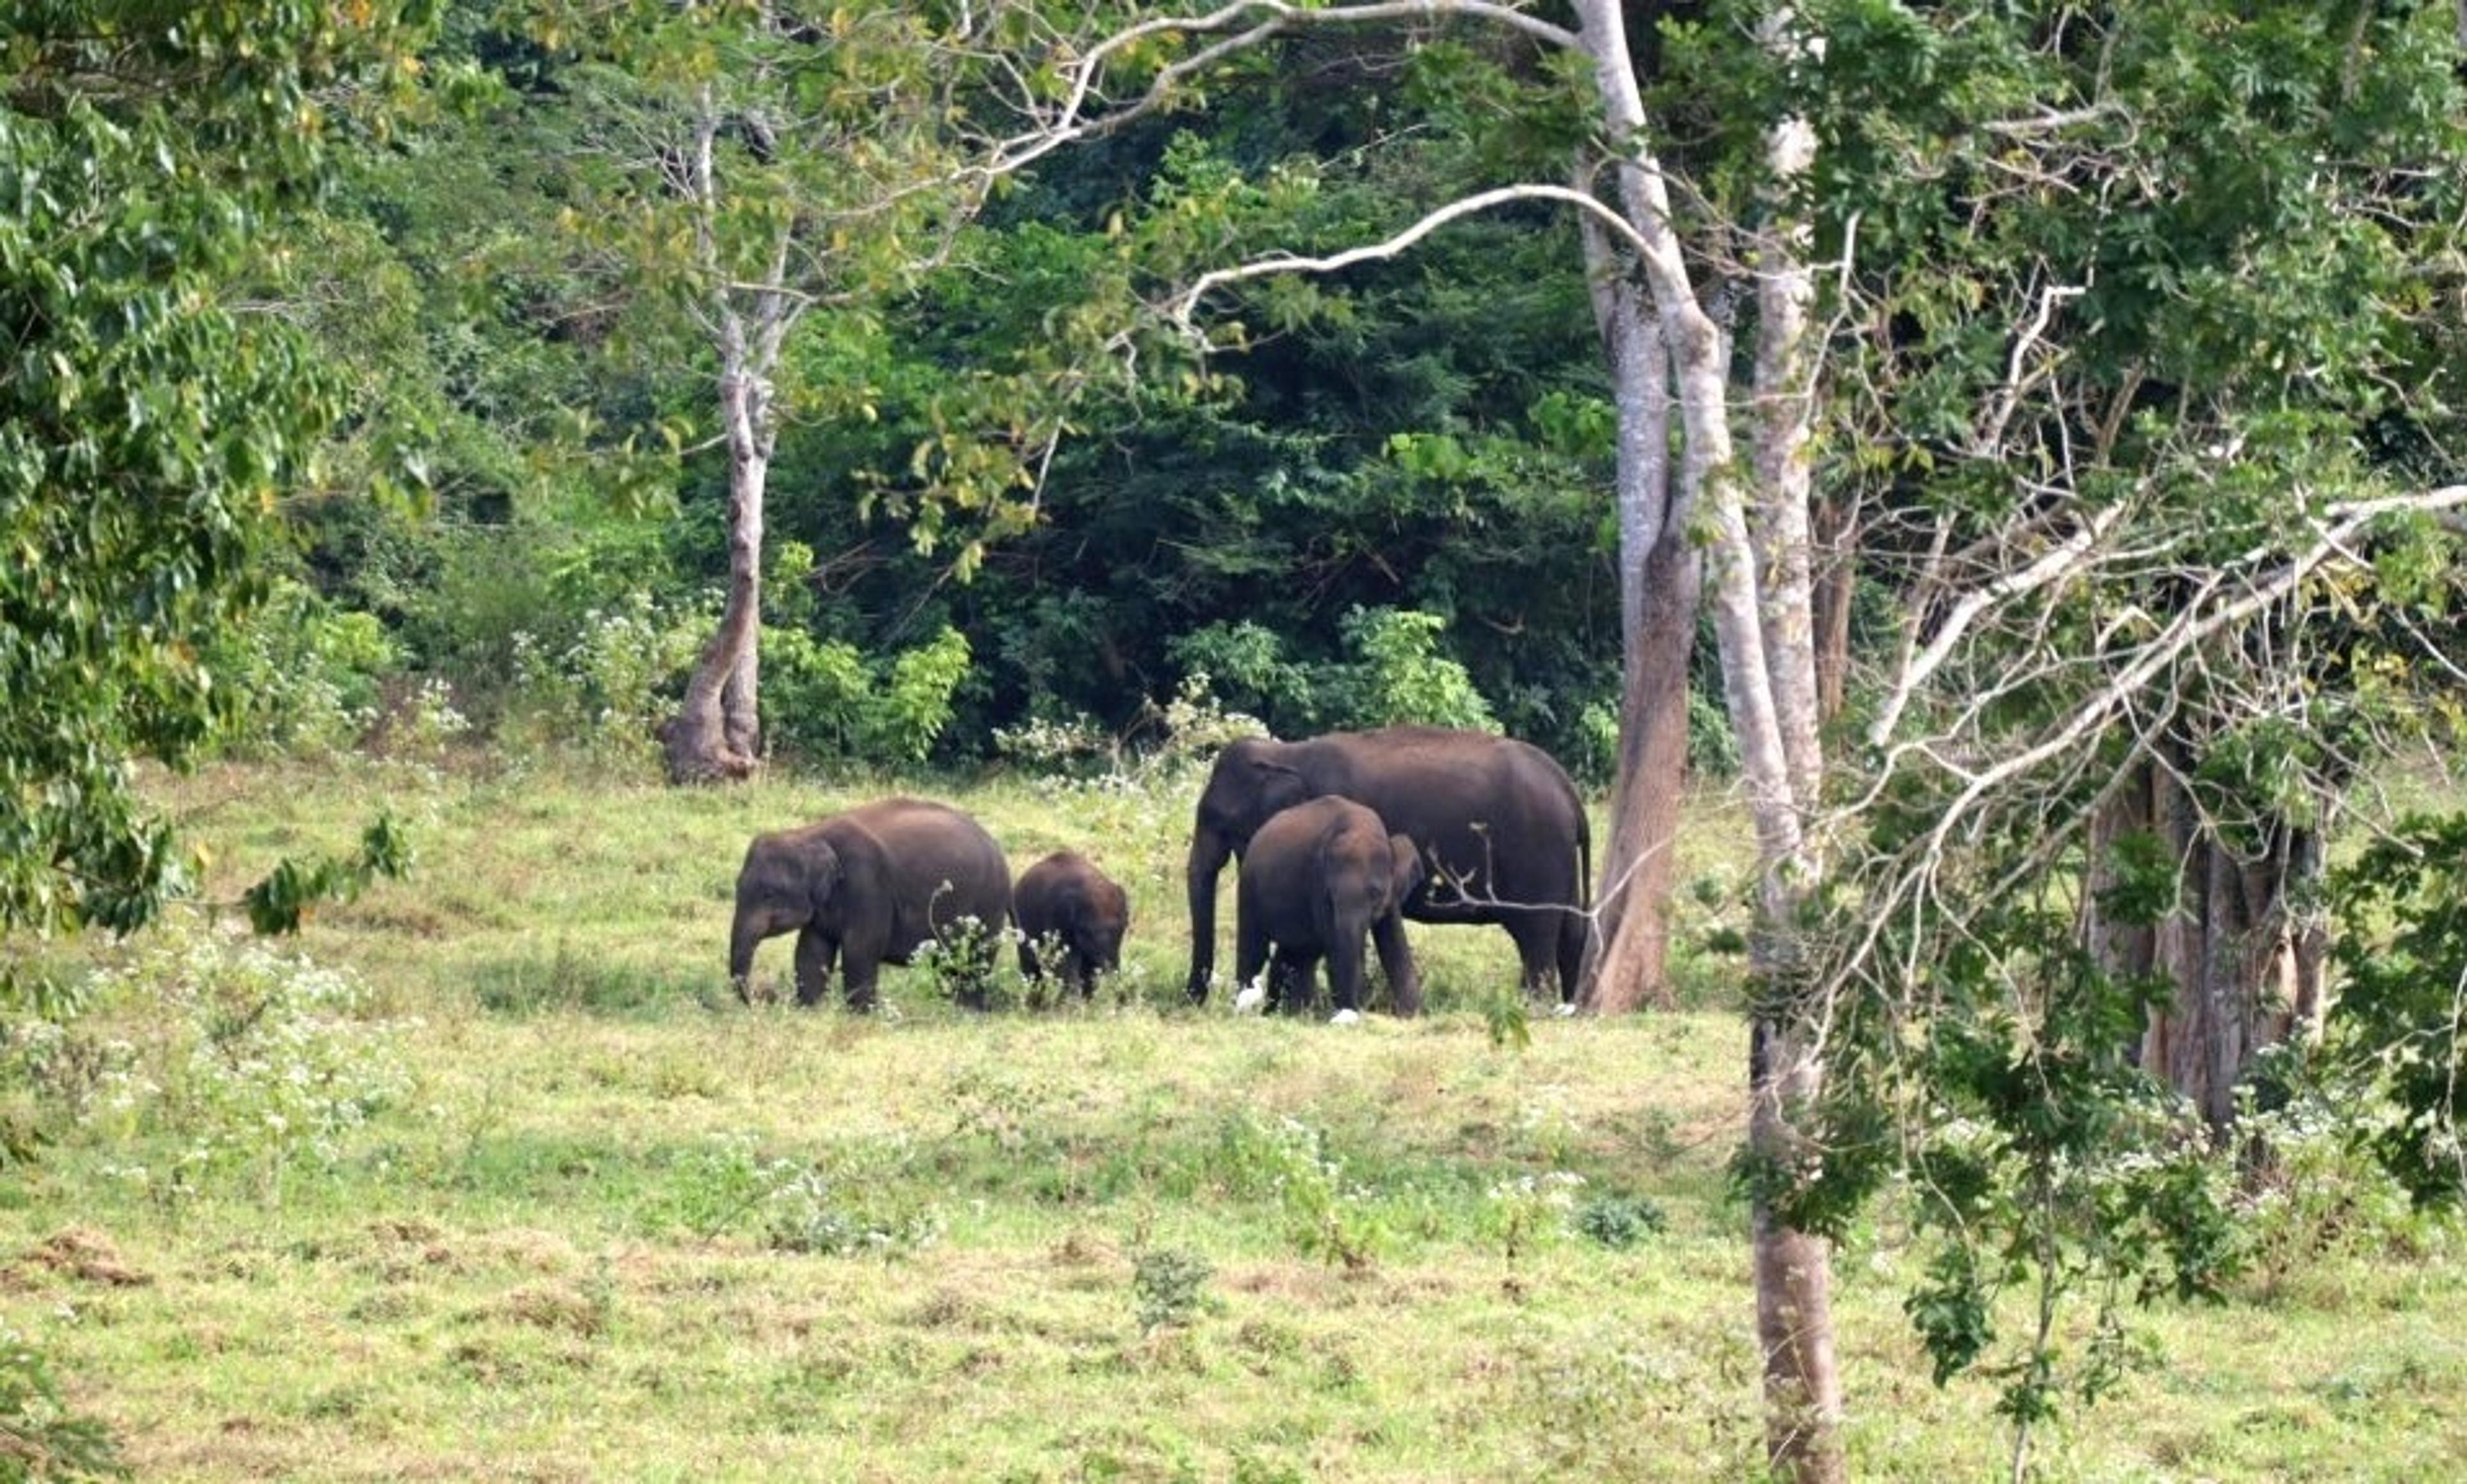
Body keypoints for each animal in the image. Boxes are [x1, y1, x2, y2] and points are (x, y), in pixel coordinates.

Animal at [729, 797, 1012, 1010]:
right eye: (737, 888)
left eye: (769, 894)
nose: (765, 995)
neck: (809, 833)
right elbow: (811, 952)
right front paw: (809, 1009)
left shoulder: (868, 883)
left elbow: (860, 947)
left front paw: (861, 1014)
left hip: (989, 901)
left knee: (977, 955)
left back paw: (967, 1010)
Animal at [1234, 796, 1424, 1018]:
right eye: (1330, 896)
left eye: (1376, 894)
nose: (1358, 1008)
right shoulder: (1317, 885)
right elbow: (1335, 945)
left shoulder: (1392, 893)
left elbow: (1394, 943)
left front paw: (1409, 1015)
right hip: (1248, 887)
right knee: (1255, 950)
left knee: (1295, 953)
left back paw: (1284, 1012)